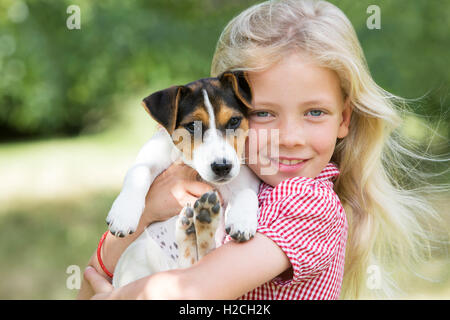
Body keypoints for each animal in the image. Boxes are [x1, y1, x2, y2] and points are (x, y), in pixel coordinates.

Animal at [105, 72, 260, 288]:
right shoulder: (150, 157)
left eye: (234, 121)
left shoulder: (244, 177)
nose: (222, 167)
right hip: (136, 259)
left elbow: (247, 193)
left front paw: (242, 221)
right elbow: (138, 173)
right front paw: (124, 214)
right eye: (192, 126)